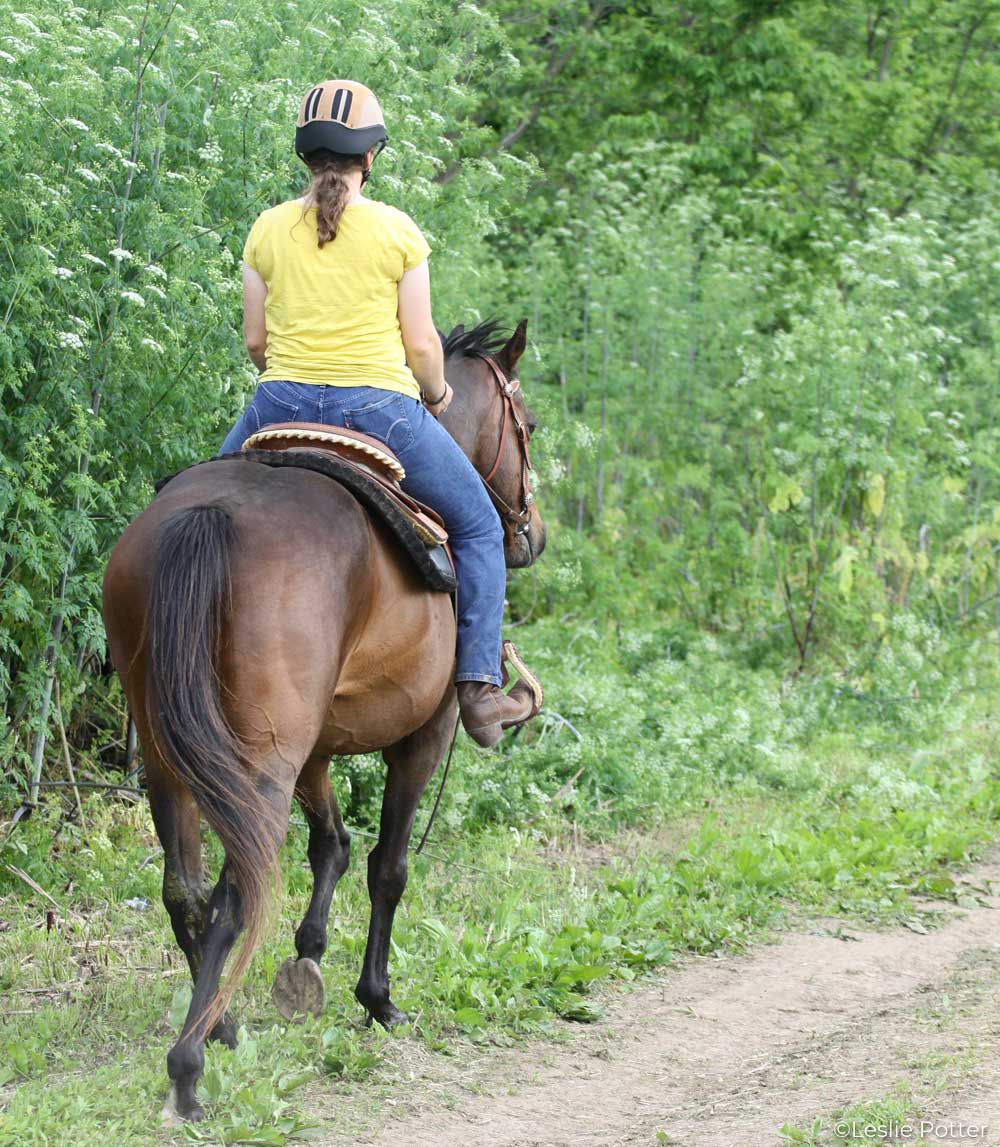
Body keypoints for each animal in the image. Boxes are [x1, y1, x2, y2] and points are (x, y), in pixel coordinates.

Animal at [101, 318, 545, 1124]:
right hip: (259, 767)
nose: (533, 533)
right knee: (236, 888)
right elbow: (387, 867)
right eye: (525, 425)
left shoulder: (312, 746)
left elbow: (330, 844)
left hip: (169, 755)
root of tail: (207, 518)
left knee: (186, 890)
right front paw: (378, 999)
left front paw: (306, 956)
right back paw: (187, 1068)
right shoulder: (423, 736)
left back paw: (222, 1025)